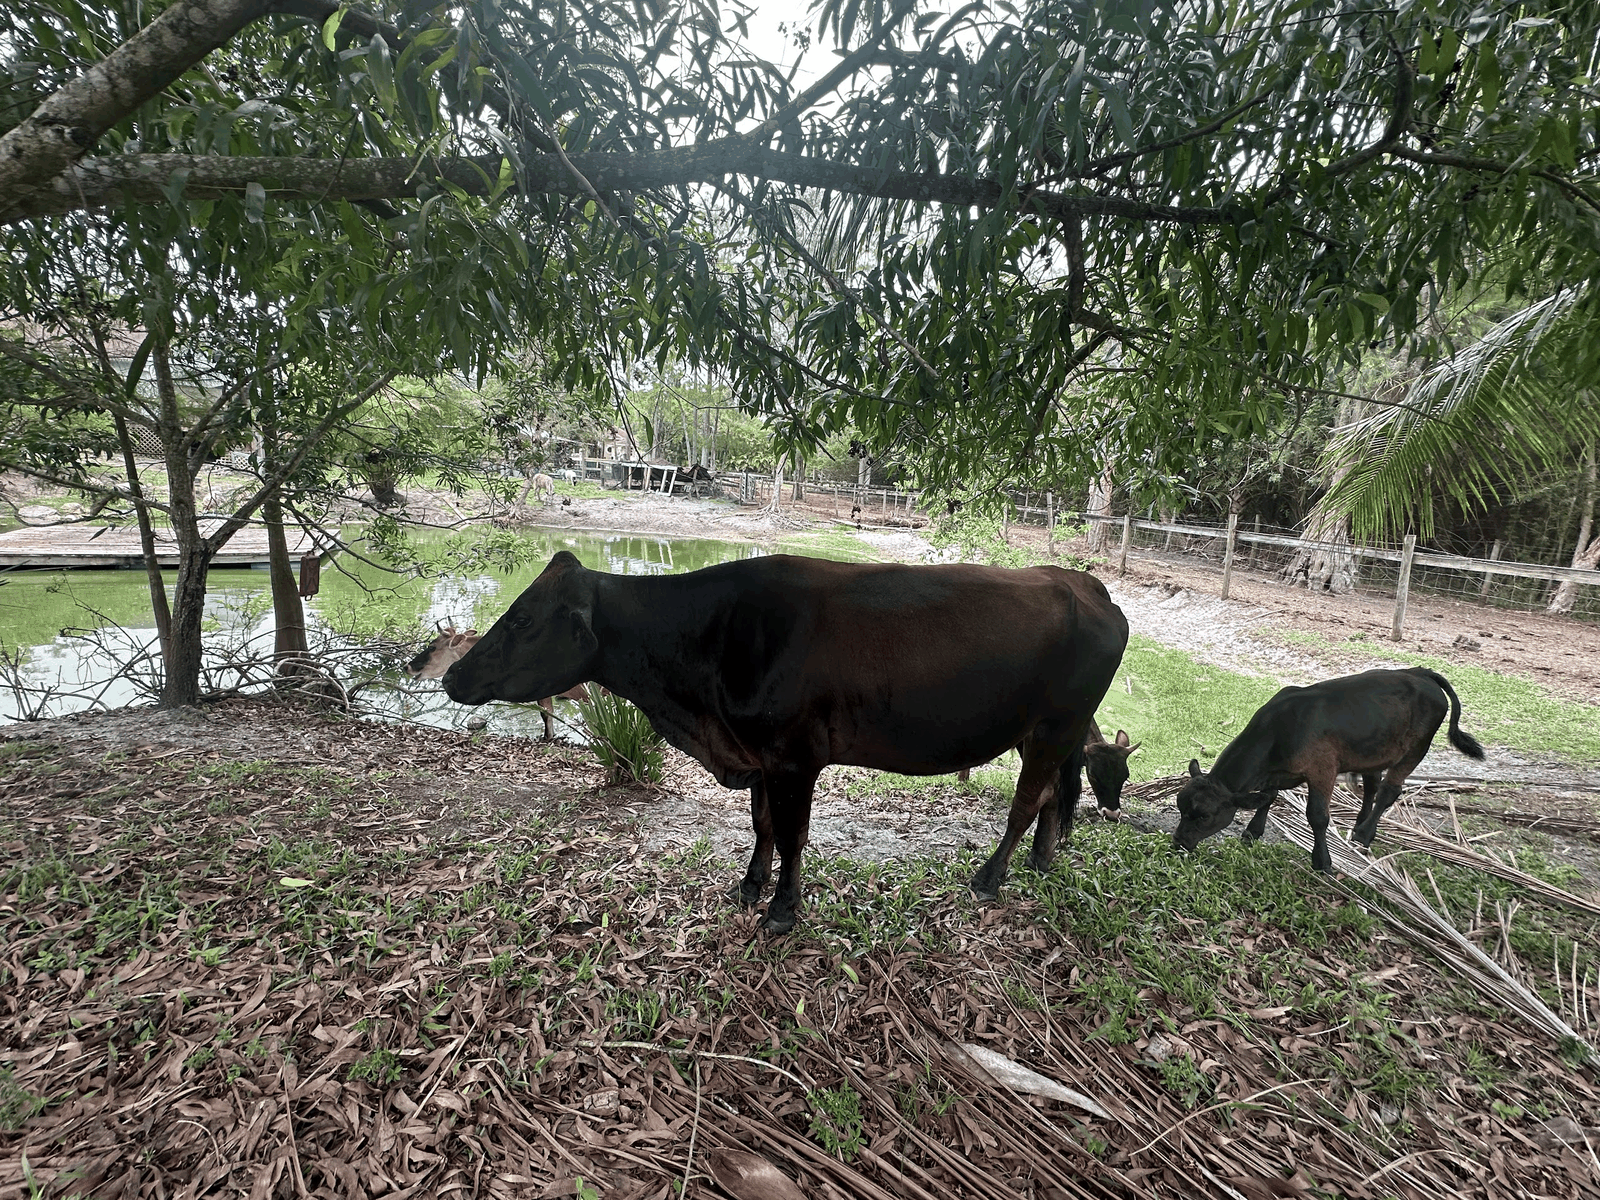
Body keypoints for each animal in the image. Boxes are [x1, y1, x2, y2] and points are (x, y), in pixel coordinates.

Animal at [1173, 667, 1485, 872]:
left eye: (1204, 816)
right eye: (1180, 807)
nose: (1178, 842)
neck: (1280, 730)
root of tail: (1421, 672)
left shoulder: (1322, 769)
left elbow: (1318, 816)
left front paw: (1322, 861)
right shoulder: (1276, 772)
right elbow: (1268, 798)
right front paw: (1252, 832)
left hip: (1417, 748)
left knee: (1389, 791)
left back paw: (1364, 834)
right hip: (1373, 750)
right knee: (1371, 787)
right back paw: (1359, 824)